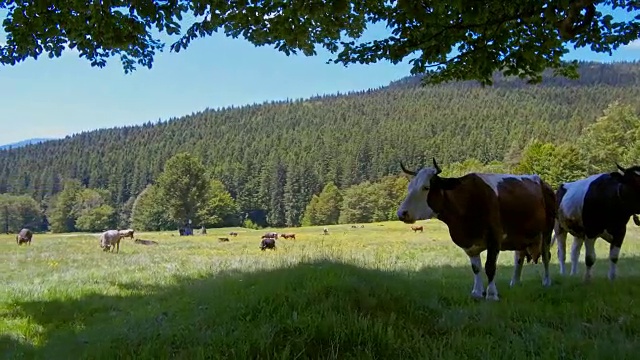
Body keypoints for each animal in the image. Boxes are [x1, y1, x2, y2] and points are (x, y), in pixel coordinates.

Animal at [398, 158, 556, 300]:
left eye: (426, 187)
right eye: (409, 188)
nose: (401, 213)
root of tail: (543, 183)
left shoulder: (495, 238)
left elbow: (490, 267)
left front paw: (491, 294)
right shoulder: (469, 243)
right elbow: (476, 268)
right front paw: (477, 292)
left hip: (547, 230)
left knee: (546, 256)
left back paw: (547, 282)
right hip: (521, 236)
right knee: (519, 257)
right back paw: (515, 283)